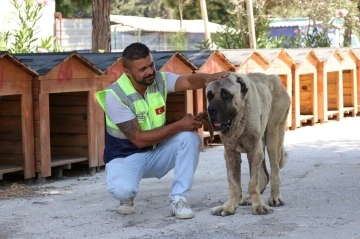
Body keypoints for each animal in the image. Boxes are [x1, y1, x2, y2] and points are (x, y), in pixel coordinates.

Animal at [207, 72, 292, 216]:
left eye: (226, 94)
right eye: (209, 95)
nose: (210, 109)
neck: (239, 120)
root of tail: (273, 77)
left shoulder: (254, 150)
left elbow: (252, 182)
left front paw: (258, 206)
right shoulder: (230, 153)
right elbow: (233, 182)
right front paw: (229, 206)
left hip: (272, 136)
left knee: (274, 170)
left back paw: (275, 197)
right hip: (261, 144)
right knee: (264, 175)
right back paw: (248, 199)